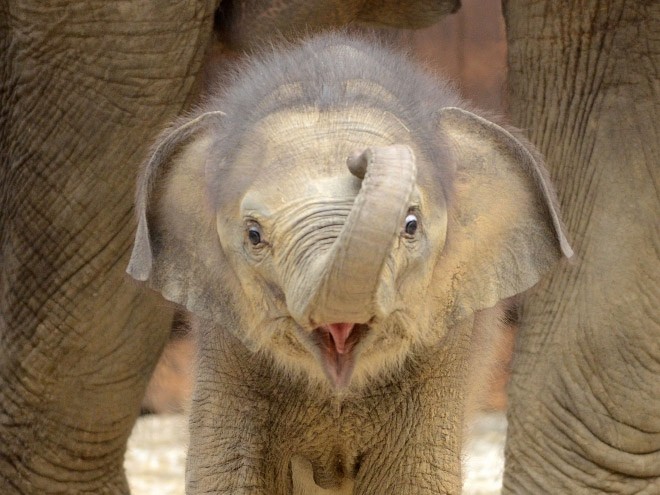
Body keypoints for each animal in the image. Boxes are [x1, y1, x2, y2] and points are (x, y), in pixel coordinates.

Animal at [129, 35, 572, 495]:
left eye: (411, 225)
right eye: (253, 235)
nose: (362, 159)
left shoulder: (444, 343)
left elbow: (414, 478)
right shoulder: (227, 347)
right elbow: (229, 474)